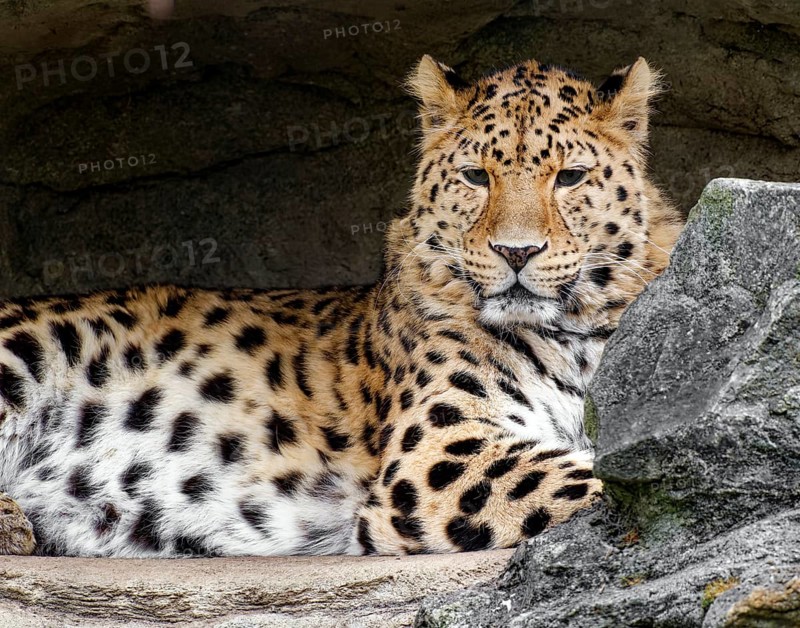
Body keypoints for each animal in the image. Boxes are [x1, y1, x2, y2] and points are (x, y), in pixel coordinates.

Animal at [0, 54, 684, 557]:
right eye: (475, 176)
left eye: (570, 178)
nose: (517, 252)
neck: (573, 330)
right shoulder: (437, 451)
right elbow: (590, 476)